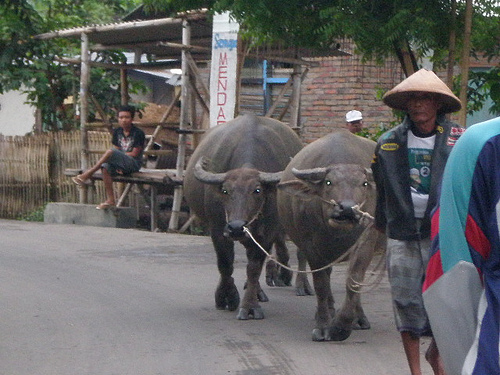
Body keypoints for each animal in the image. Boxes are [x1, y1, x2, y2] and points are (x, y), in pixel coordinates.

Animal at [183, 114, 302, 320]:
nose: (237, 227)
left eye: (257, 190)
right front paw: (226, 297)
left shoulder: (266, 233)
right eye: (225, 190)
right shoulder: (217, 229)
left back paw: (259, 292)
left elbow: (254, 268)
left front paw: (250, 305)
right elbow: (225, 263)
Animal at [276, 130, 384, 344]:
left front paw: (342, 326)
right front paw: (324, 326)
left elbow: (354, 281)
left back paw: (359, 318)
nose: (347, 209)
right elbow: (321, 285)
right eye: (328, 182)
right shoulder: (312, 248)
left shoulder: (366, 243)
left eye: (364, 183)